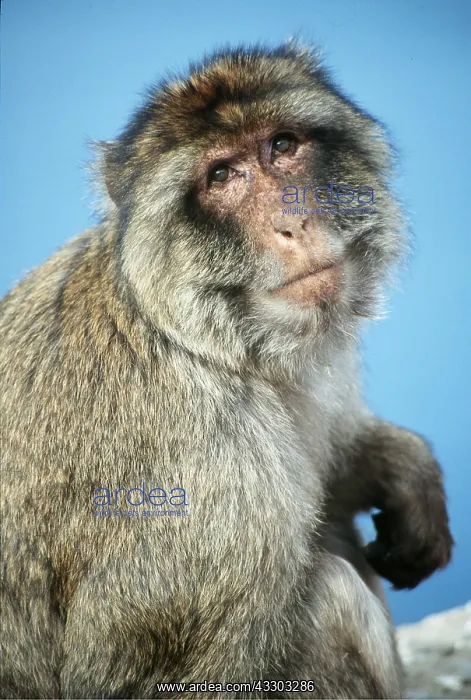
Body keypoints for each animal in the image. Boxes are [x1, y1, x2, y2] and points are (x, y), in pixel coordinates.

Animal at [0, 43, 453, 699]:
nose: (293, 223)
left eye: (282, 145)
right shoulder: (209, 479)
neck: (202, 338)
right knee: (333, 600)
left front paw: (404, 468)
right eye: (220, 176)